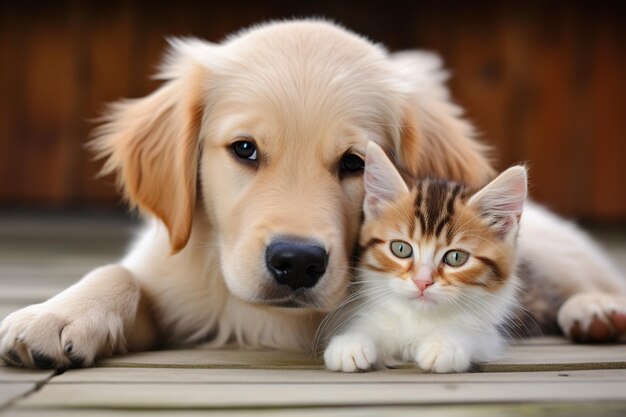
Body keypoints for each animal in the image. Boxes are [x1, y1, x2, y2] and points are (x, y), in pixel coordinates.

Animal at [324, 141, 524, 372]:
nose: (422, 282)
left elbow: (472, 332)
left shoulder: (491, 334)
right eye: (401, 249)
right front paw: (351, 343)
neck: (420, 317)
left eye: (456, 257)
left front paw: (444, 345)